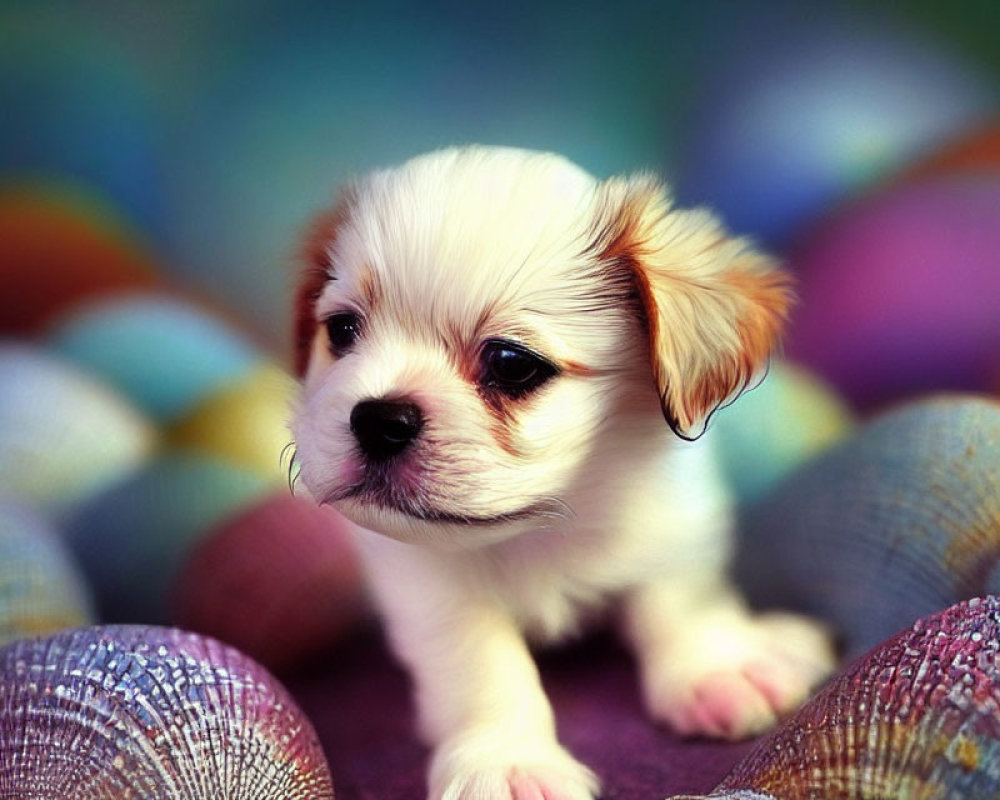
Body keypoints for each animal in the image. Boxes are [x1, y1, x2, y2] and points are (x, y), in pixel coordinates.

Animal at [292, 148, 836, 800]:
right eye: (342, 331)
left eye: (511, 363)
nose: (378, 418)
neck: (540, 524)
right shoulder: (432, 590)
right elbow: (483, 664)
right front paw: (506, 760)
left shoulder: (672, 529)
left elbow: (678, 598)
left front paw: (713, 669)